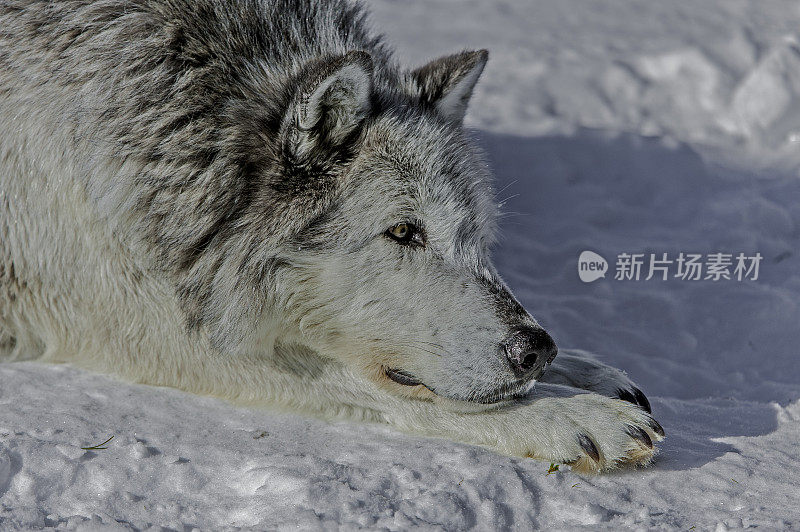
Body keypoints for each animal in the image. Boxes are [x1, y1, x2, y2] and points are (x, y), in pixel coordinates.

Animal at [0, 0, 664, 472]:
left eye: (472, 234)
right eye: (403, 231)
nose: (536, 351)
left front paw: (584, 370)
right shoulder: (150, 329)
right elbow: (378, 386)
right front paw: (572, 416)